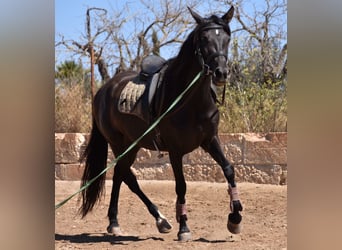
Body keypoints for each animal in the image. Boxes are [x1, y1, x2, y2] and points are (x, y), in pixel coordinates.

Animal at [80, 6, 242, 240]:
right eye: (204, 38)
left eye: (227, 38)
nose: (221, 73)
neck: (190, 100)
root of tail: (102, 91)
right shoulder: (175, 150)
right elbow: (181, 186)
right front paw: (184, 227)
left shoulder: (210, 140)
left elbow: (228, 169)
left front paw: (235, 218)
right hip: (119, 144)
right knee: (126, 176)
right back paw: (151, 220)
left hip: (132, 145)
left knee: (122, 175)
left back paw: (126, 222)